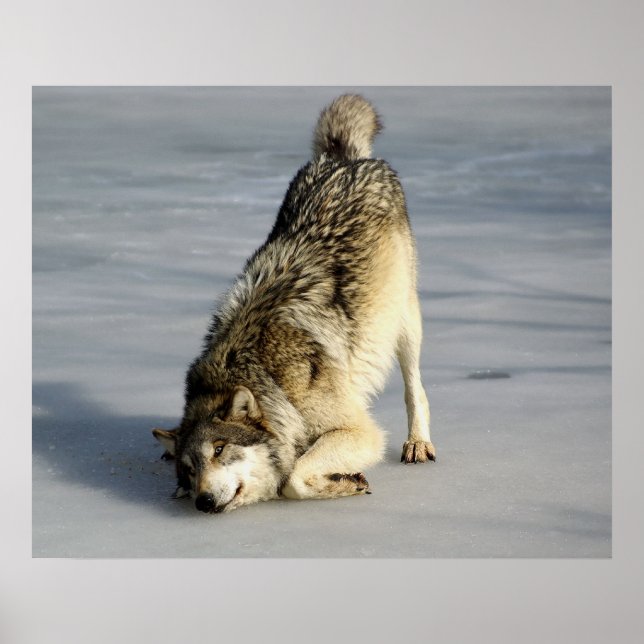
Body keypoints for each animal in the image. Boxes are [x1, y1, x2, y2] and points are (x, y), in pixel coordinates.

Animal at [153, 94, 435, 513]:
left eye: (220, 449)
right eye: (189, 469)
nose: (203, 501)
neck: (265, 375)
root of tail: (342, 158)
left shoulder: (359, 430)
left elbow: (293, 479)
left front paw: (346, 482)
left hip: (403, 321)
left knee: (414, 387)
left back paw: (418, 443)